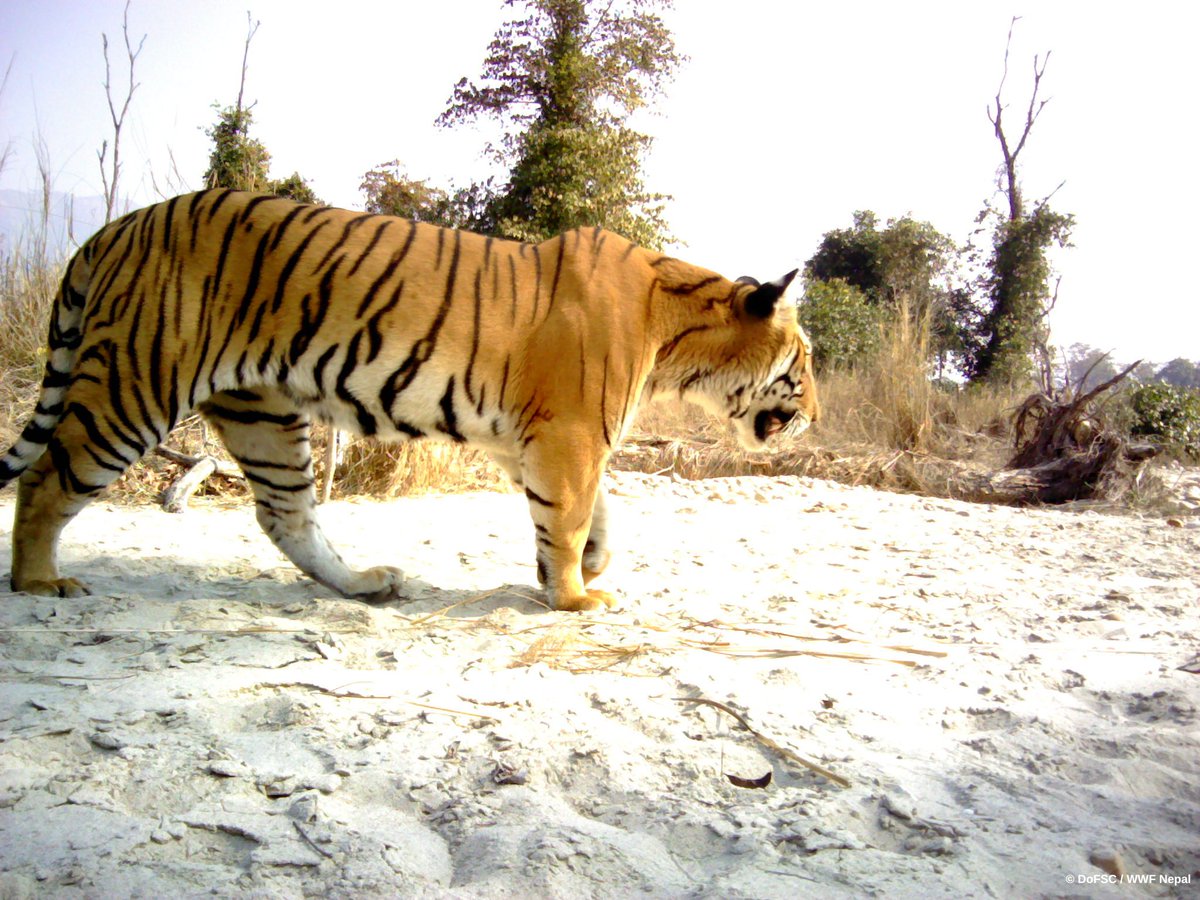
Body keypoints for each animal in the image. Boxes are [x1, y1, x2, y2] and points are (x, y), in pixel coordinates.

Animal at [0, 190, 818, 612]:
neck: (681, 333)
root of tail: (115, 226)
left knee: (285, 516)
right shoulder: (570, 435)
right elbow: (575, 511)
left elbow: (596, 512)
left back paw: (365, 584)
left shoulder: (529, 438)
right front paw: (574, 596)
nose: (815, 412)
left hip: (261, 411)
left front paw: (588, 566)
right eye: (805, 363)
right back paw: (39, 581)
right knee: (45, 480)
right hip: (136, 383)